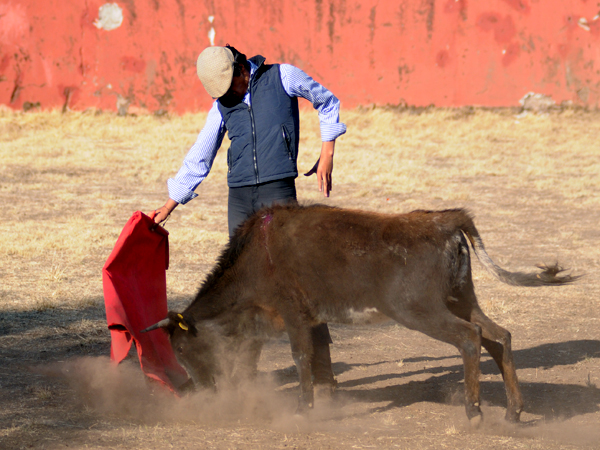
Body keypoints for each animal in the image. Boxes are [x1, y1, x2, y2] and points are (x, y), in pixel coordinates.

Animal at [143, 205, 580, 426]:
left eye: (181, 349)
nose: (197, 390)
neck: (255, 258)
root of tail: (445, 220)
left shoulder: (294, 313)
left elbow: (301, 358)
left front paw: (303, 410)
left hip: (422, 310)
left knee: (470, 338)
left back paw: (474, 413)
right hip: (460, 296)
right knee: (498, 335)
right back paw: (512, 412)